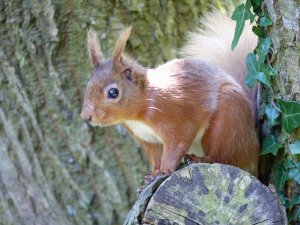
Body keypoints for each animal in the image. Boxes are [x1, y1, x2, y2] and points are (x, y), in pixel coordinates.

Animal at [81, 11, 258, 176]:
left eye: (113, 92)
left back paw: (201, 159)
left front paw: (164, 170)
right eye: (88, 86)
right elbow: (155, 157)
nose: (86, 116)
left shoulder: (176, 119)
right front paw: (152, 175)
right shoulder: (148, 140)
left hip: (227, 122)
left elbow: (176, 146)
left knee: (223, 156)